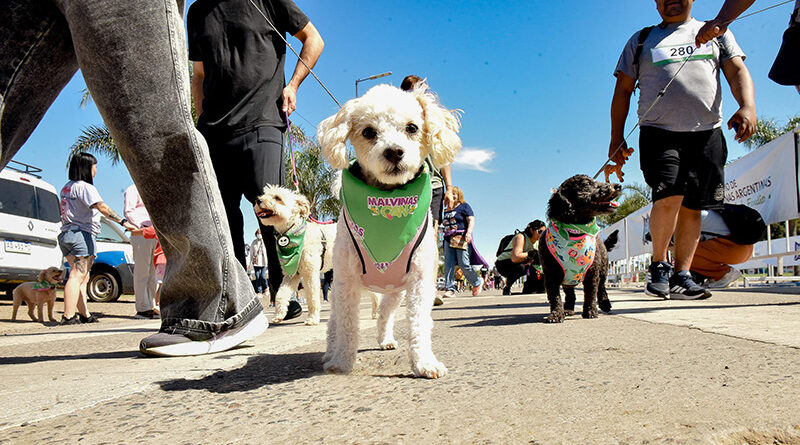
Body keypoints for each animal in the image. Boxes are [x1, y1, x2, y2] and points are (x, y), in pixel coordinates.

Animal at [253, 185, 334, 326]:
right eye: (264, 194)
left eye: (277, 198)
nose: (258, 200)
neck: (293, 232)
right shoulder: (291, 274)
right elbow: (281, 295)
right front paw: (279, 315)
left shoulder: (310, 273)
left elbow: (312, 297)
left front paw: (312, 318)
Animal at [316, 84, 460, 378]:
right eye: (369, 132)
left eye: (412, 128)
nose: (394, 151)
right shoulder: (346, 280)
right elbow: (347, 325)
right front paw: (341, 361)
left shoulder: (420, 281)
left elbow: (419, 323)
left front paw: (424, 363)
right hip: (337, 289)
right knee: (334, 322)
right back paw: (330, 352)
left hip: (395, 291)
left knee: (384, 312)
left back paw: (385, 339)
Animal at [540, 174, 620, 322]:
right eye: (586, 185)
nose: (618, 186)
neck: (573, 232)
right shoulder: (551, 275)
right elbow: (554, 296)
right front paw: (556, 314)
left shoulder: (592, 273)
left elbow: (590, 293)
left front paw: (590, 311)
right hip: (568, 280)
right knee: (570, 294)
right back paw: (568, 309)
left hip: (603, 269)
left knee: (601, 287)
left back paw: (605, 304)